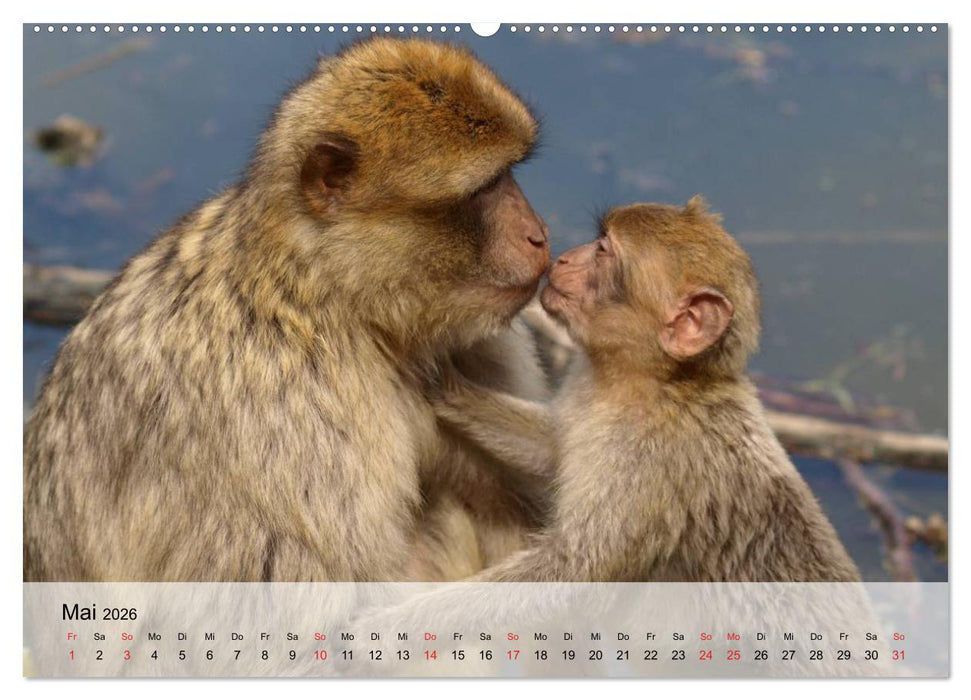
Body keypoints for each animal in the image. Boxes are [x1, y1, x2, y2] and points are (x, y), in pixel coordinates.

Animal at [430, 197, 862, 583]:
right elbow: (550, 448)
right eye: (598, 240)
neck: (653, 383)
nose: (564, 258)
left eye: (603, 250)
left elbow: (572, 567)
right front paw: (441, 382)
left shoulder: (650, 460)